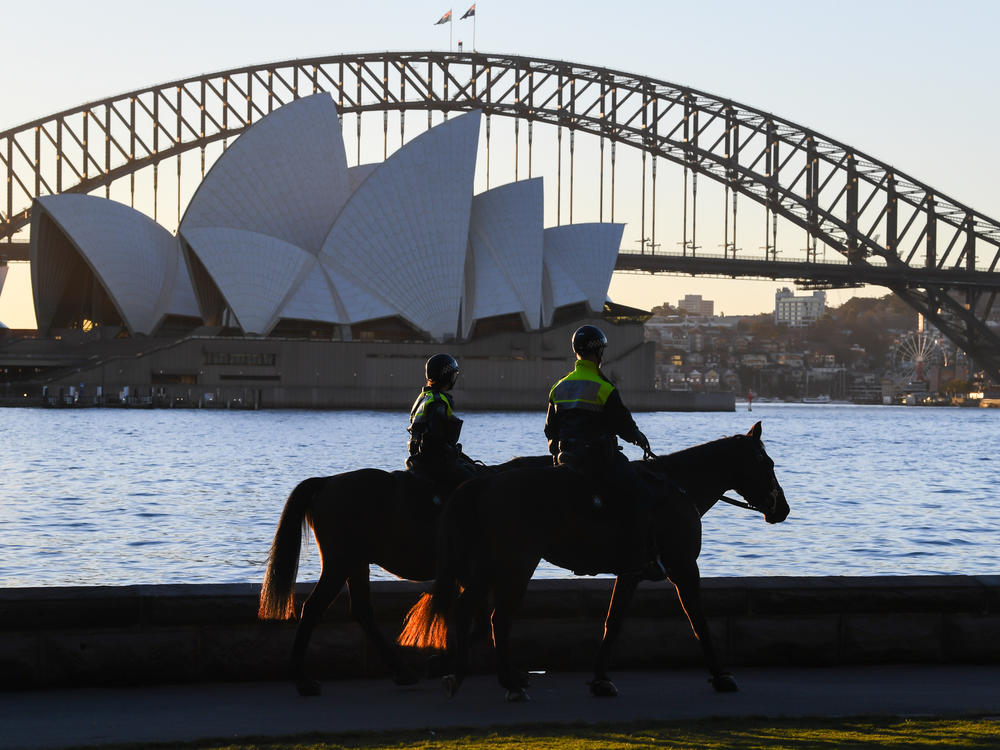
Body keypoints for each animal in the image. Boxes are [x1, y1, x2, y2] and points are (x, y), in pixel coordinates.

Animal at [258, 456, 552, 696]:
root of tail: (327, 482)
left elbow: (482, 622)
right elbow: (489, 620)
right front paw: (446, 664)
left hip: (355, 563)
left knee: (362, 611)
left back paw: (402, 671)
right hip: (340, 563)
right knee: (313, 608)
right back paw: (303, 680)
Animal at [398, 424, 788, 704]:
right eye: (767, 464)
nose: (782, 508)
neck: (677, 487)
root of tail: (486, 482)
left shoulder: (631, 573)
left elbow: (612, 623)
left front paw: (600, 679)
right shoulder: (683, 567)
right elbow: (699, 621)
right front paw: (721, 675)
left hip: (490, 565)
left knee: (468, 611)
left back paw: (458, 670)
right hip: (515, 564)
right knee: (496, 619)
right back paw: (506, 681)